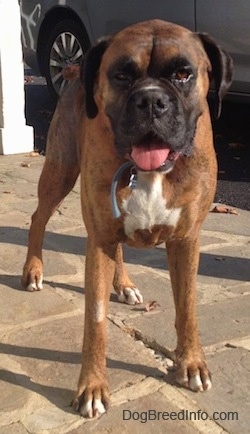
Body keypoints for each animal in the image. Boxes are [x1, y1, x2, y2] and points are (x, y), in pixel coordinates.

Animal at [21, 20, 232, 418]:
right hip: (60, 171)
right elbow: (95, 320)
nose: (151, 100)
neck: (150, 171)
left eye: (183, 74)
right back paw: (34, 270)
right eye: (121, 75)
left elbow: (188, 307)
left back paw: (124, 285)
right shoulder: (99, 238)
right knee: (38, 218)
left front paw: (191, 363)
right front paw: (92, 387)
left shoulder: (185, 240)